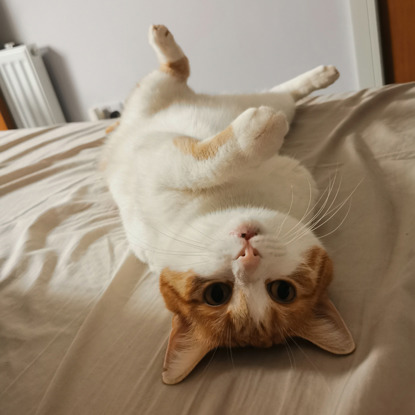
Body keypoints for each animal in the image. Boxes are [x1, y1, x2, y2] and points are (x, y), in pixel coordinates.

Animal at [102, 24, 356, 386]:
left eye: (283, 291)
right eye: (217, 295)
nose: (246, 258)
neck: (237, 200)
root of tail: (114, 132)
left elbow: (209, 161)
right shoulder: (168, 162)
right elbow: (209, 163)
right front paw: (257, 133)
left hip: (162, 98)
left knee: (269, 93)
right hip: (154, 96)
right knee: (179, 72)